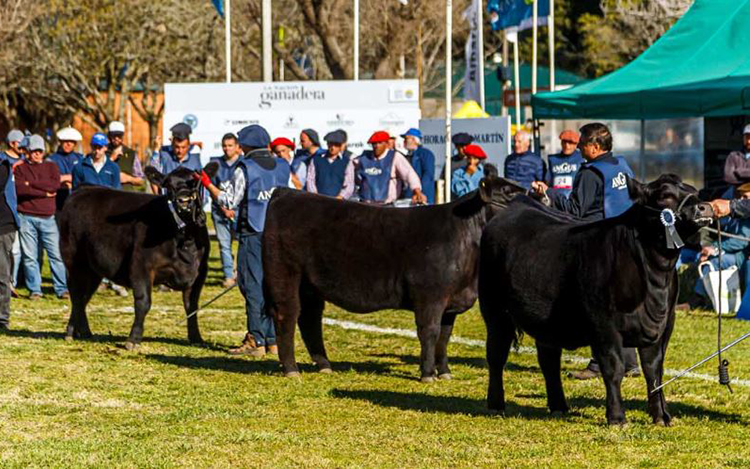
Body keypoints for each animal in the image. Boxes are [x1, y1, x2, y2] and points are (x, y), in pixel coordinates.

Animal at [59, 165, 219, 348]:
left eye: (195, 183)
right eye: (169, 185)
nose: (183, 199)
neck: (185, 241)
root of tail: (84, 189)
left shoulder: (200, 272)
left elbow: (192, 306)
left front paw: (196, 338)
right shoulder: (141, 266)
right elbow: (143, 302)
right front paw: (133, 339)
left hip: (93, 271)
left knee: (84, 297)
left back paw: (79, 331)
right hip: (74, 263)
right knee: (77, 296)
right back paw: (76, 332)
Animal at [264, 176, 528, 380]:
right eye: (507, 193)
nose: (535, 198)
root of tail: (286, 193)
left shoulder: (450, 303)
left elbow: (444, 337)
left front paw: (444, 372)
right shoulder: (430, 297)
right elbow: (429, 332)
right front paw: (427, 374)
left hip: (310, 286)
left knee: (310, 320)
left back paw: (324, 366)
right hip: (285, 276)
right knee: (287, 316)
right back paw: (291, 369)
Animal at [478, 173, 712, 424]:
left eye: (694, 191)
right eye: (666, 195)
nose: (705, 207)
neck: (654, 280)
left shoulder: (663, 324)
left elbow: (654, 372)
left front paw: (661, 416)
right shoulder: (603, 324)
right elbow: (614, 368)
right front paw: (617, 418)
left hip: (546, 320)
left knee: (549, 360)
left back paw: (558, 405)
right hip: (494, 310)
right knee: (496, 354)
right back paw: (496, 403)